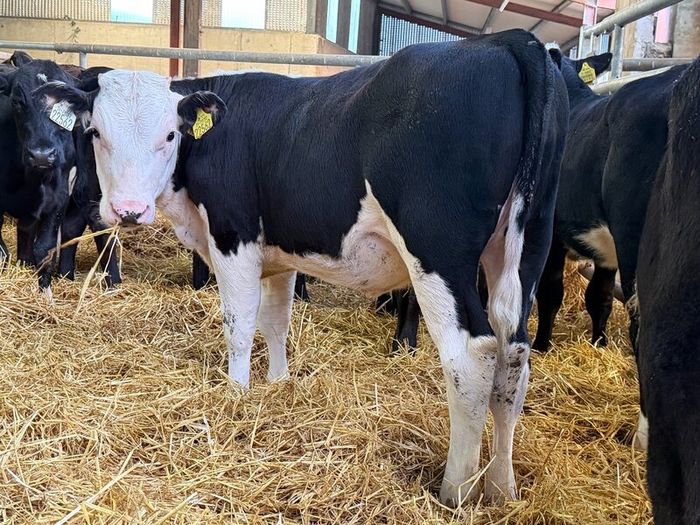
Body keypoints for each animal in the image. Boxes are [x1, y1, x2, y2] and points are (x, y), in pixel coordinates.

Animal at [38, 29, 568, 505]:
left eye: (169, 135)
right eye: (95, 132)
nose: (128, 210)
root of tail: (508, 40)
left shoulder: (234, 238)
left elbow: (239, 324)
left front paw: (237, 394)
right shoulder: (279, 254)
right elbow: (276, 322)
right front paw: (278, 384)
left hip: (438, 252)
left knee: (472, 357)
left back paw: (456, 490)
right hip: (523, 252)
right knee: (513, 358)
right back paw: (501, 488)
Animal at [532, 53, 690, 354]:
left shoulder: (553, 232)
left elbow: (550, 292)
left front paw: (540, 346)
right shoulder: (605, 253)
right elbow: (600, 298)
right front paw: (599, 344)